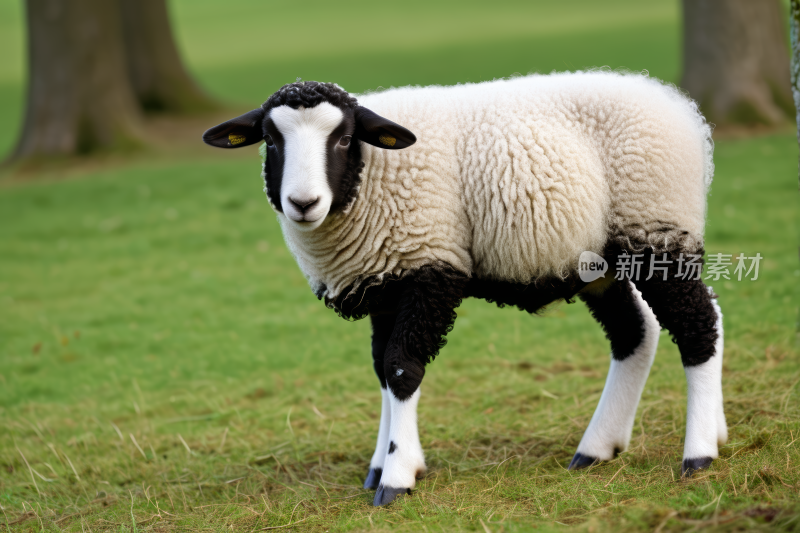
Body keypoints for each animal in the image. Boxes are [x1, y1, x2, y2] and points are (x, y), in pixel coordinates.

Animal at [205, 71, 724, 508]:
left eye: (346, 138)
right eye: (272, 140)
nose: (303, 203)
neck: (373, 174)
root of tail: (678, 104)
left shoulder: (430, 267)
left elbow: (400, 369)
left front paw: (397, 476)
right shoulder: (386, 284)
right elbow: (380, 370)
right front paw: (380, 465)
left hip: (656, 227)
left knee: (698, 326)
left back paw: (699, 453)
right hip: (602, 260)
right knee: (638, 332)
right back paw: (602, 447)